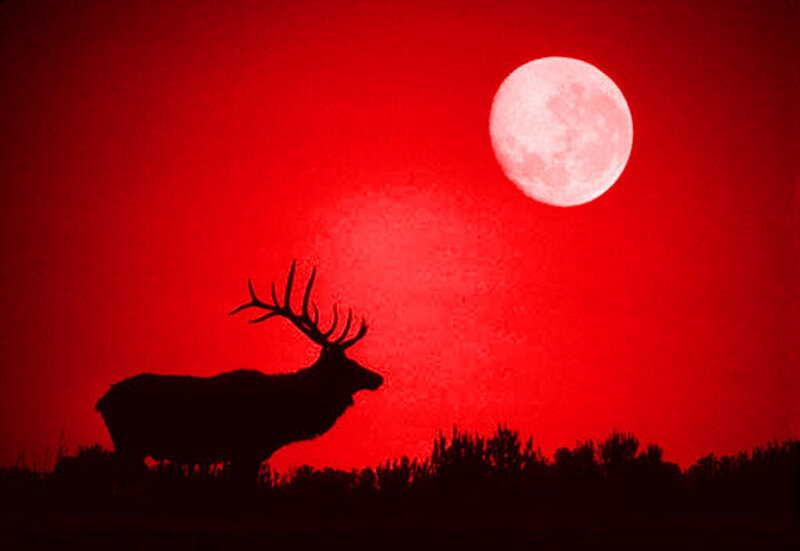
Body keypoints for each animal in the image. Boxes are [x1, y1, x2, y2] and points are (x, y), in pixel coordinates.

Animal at [95, 261, 384, 484]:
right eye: (345, 364)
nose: (377, 378)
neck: (285, 418)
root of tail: (102, 401)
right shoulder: (245, 450)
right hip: (127, 442)